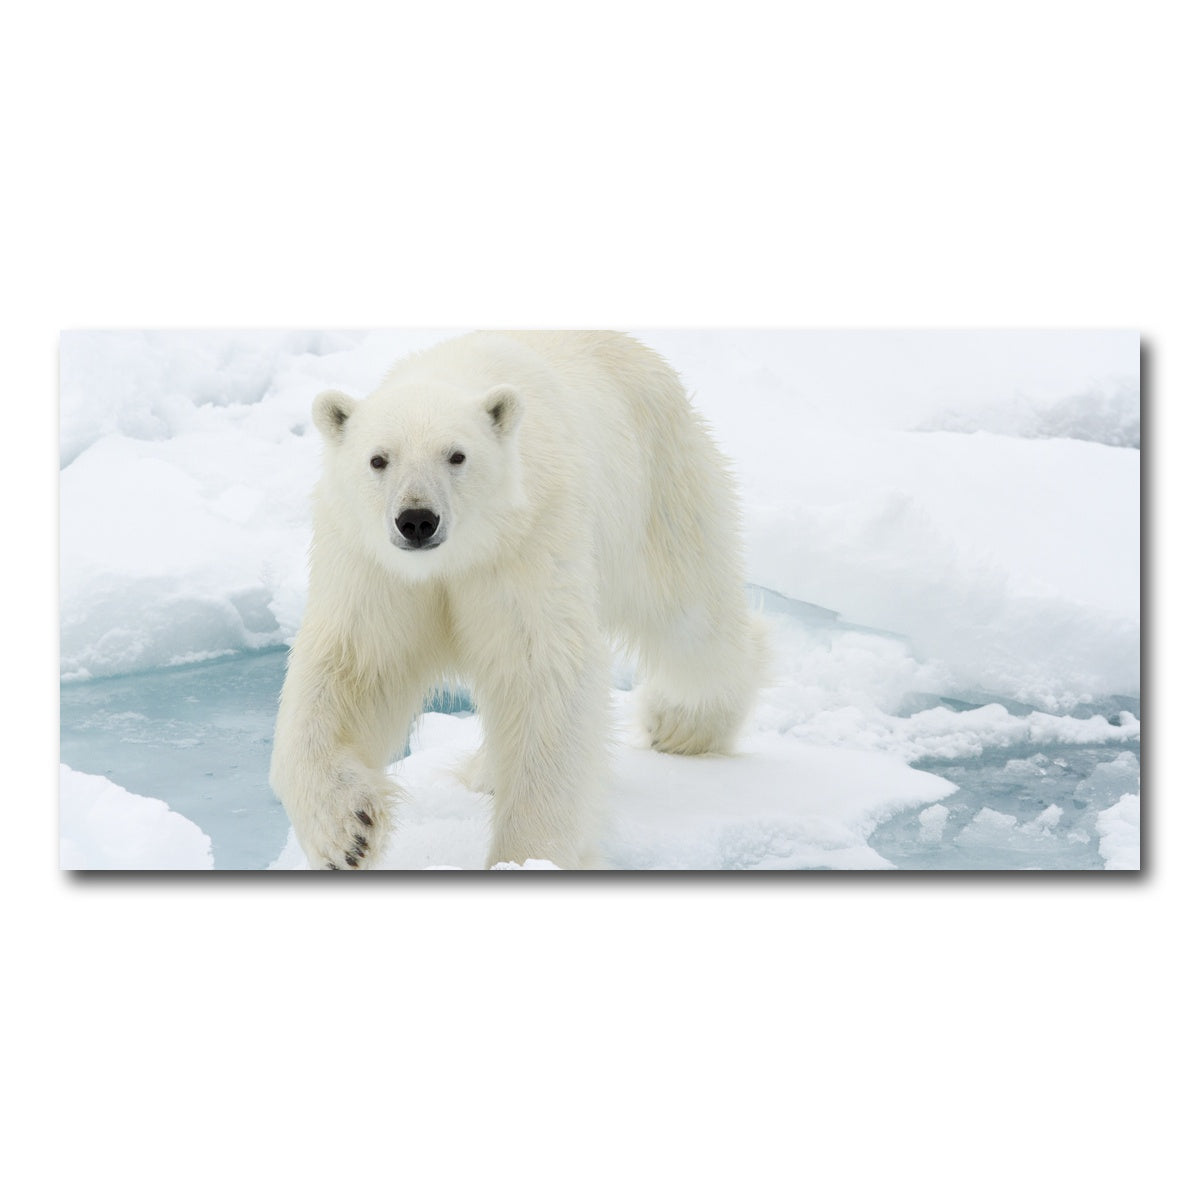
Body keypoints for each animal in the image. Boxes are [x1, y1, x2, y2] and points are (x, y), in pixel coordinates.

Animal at [270, 331, 767, 869]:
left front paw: (527, 856)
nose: (417, 520)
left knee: (690, 617)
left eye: (457, 455)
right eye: (378, 459)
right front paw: (348, 833)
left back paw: (680, 724)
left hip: (659, 486)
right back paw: (486, 771)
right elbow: (351, 668)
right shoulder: (374, 568)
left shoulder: (527, 541)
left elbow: (540, 674)